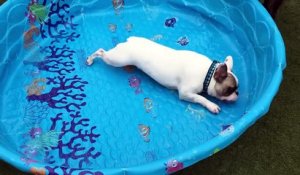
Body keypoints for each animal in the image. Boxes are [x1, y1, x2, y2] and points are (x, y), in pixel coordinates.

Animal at [86, 36, 239, 113]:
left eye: (236, 89)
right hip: (117, 60)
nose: (237, 93)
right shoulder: (185, 93)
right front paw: (211, 105)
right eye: (230, 90)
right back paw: (90, 59)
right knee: (101, 52)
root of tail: (129, 41)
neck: (208, 73)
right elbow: (201, 98)